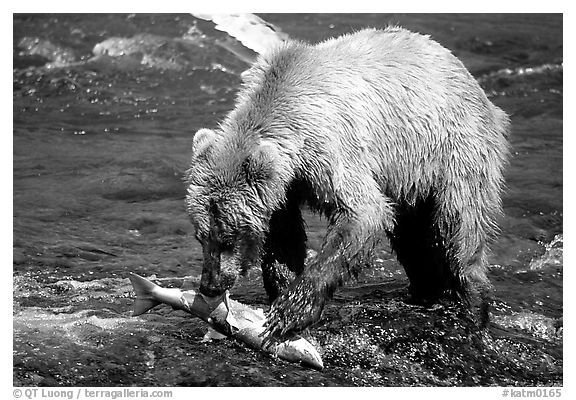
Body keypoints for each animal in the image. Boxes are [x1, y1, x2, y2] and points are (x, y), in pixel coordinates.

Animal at [184, 27, 508, 340]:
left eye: (229, 238)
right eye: (201, 236)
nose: (209, 285)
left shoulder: (330, 150)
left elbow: (363, 213)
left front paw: (291, 311)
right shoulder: (283, 190)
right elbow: (284, 238)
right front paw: (281, 293)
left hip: (453, 151)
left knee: (458, 227)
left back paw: (473, 308)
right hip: (410, 181)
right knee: (413, 241)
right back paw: (426, 292)